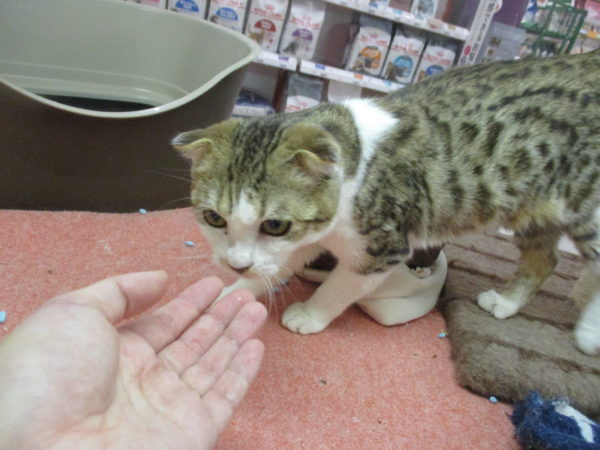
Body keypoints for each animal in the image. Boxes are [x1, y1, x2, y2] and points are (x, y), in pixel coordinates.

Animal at [173, 49, 600, 355]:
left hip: (587, 204)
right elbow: (279, 263)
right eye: (213, 218)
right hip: (533, 206)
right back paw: (507, 302)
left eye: (275, 224)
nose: (234, 264)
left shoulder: (384, 246)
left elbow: (340, 286)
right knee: (545, 257)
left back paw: (589, 334)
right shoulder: (310, 236)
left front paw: (310, 313)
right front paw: (232, 294)